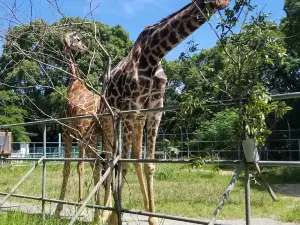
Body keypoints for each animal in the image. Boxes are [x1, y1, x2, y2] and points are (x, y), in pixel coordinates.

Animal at [54, 32, 112, 223]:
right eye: (78, 39)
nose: (86, 48)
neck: (74, 83)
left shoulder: (67, 131)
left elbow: (67, 168)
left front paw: (58, 210)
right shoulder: (78, 137)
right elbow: (79, 166)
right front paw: (79, 202)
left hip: (91, 136)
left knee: (97, 164)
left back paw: (97, 215)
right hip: (106, 135)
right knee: (107, 164)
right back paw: (106, 212)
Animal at [103, 0, 230, 224]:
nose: (223, 3)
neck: (154, 53)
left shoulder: (154, 109)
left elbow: (148, 163)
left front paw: (152, 217)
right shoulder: (130, 107)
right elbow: (123, 163)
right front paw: (114, 217)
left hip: (137, 119)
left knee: (132, 156)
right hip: (110, 116)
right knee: (109, 158)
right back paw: (102, 213)